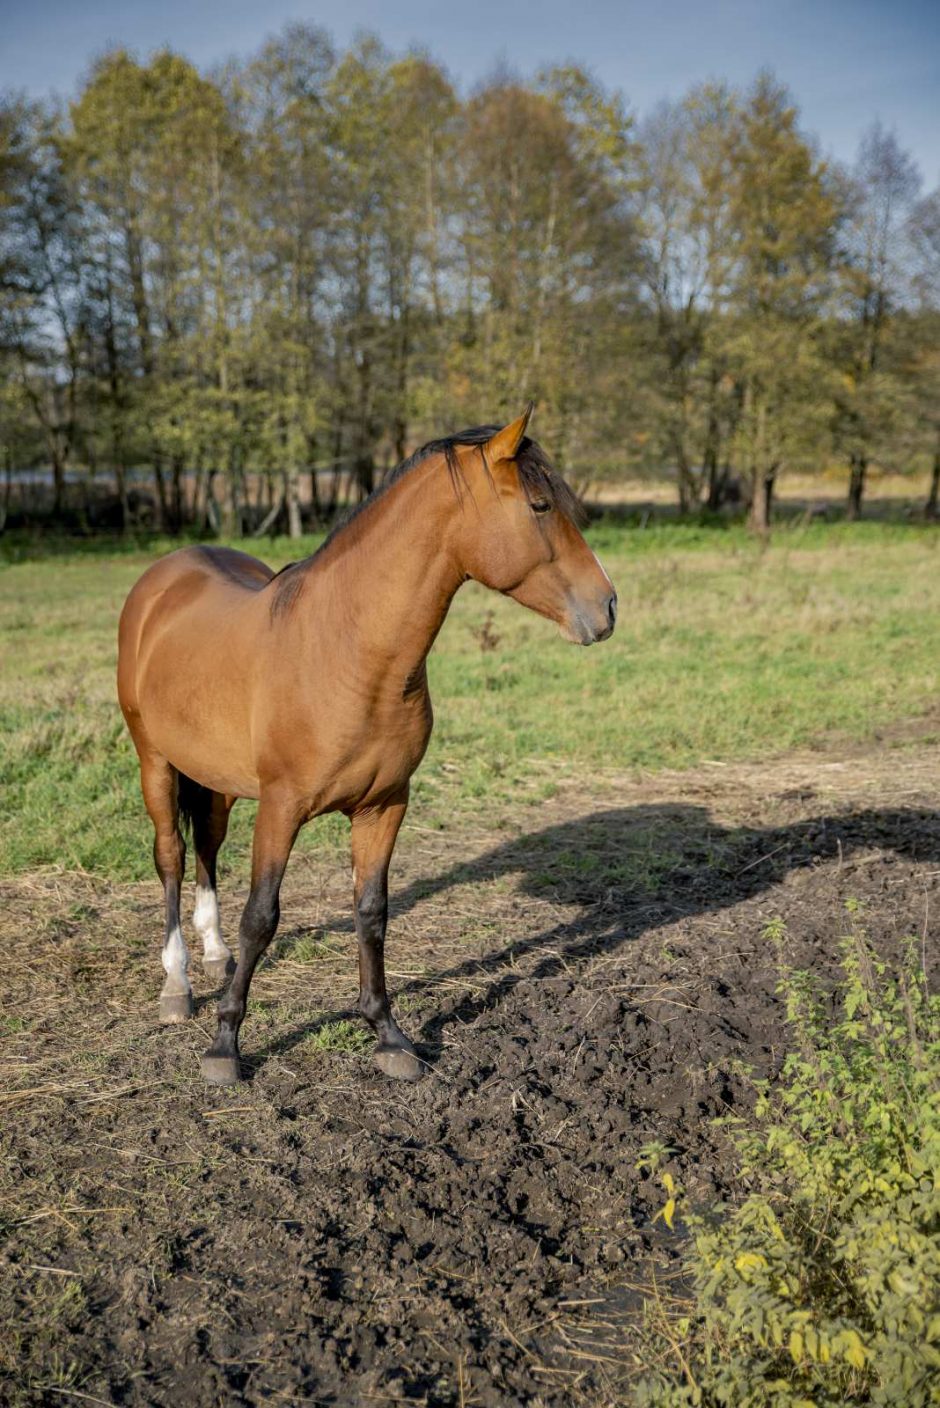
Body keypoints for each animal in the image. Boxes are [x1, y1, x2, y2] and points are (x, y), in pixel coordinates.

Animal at [117, 411, 616, 1086]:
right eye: (540, 505)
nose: (607, 607)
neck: (350, 650)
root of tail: (162, 578)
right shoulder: (281, 808)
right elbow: (262, 916)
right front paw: (225, 1046)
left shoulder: (384, 805)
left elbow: (372, 912)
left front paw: (388, 1035)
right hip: (156, 763)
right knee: (170, 854)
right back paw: (178, 984)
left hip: (216, 779)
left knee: (207, 848)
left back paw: (215, 952)